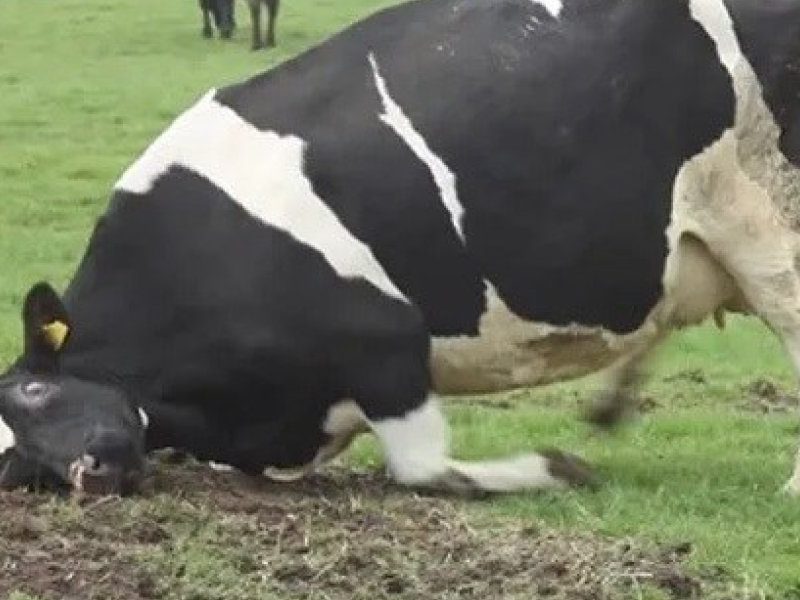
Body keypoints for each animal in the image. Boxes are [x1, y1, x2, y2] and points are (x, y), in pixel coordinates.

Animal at [2, 0, 800, 497]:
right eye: (14, 470)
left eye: (37, 392)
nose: (88, 473)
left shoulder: (385, 338)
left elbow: (421, 470)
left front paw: (558, 468)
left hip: (769, 226)